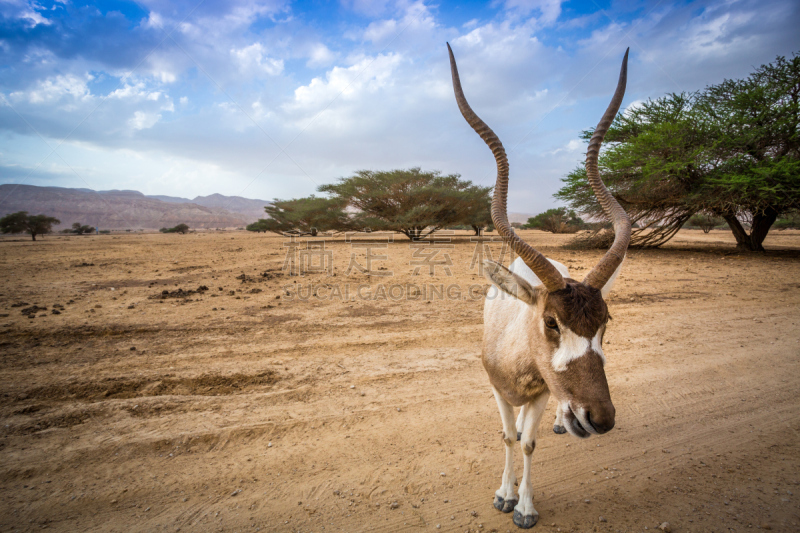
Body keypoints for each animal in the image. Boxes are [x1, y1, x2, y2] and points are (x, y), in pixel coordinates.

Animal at [450, 42, 632, 528]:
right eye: (551, 322)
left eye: (606, 321)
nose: (600, 418)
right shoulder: (498, 391)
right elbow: (507, 438)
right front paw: (503, 495)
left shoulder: (540, 393)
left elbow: (529, 443)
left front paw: (525, 507)